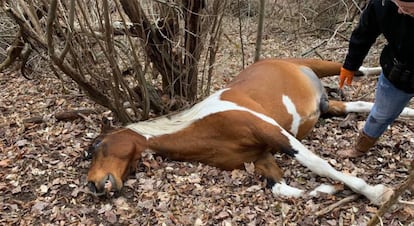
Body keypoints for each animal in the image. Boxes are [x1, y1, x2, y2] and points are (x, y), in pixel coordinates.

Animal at [85, 57, 414, 205]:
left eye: (96, 146)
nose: (94, 185)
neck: (207, 123)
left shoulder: (274, 133)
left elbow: (318, 164)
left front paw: (376, 193)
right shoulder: (261, 157)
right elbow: (281, 188)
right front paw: (326, 191)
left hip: (326, 66)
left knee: (363, 70)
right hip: (328, 106)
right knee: (361, 105)